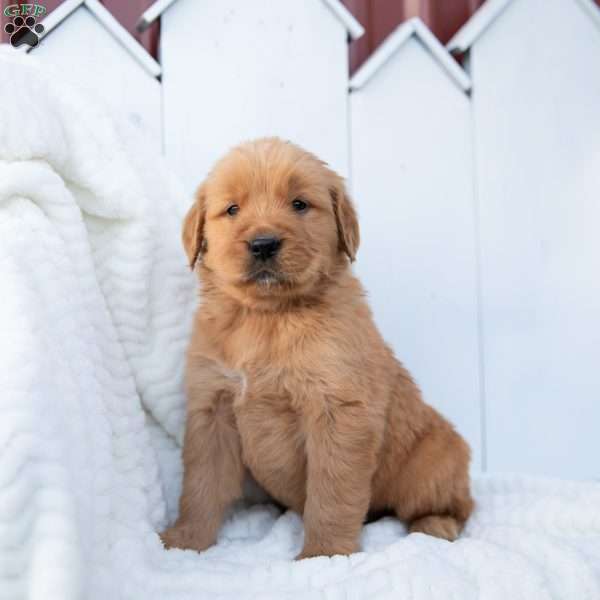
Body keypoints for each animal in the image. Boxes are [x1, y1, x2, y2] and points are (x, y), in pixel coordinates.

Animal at [161, 136, 474, 556]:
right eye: (232, 209)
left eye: (299, 204)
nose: (263, 244)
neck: (268, 318)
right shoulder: (212, 409)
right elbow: (200, 486)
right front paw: (184, 540)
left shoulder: (338, 411)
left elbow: (332, 494)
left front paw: (324, 554)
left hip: (434, 462)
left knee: (457, 505)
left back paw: (436, 525)